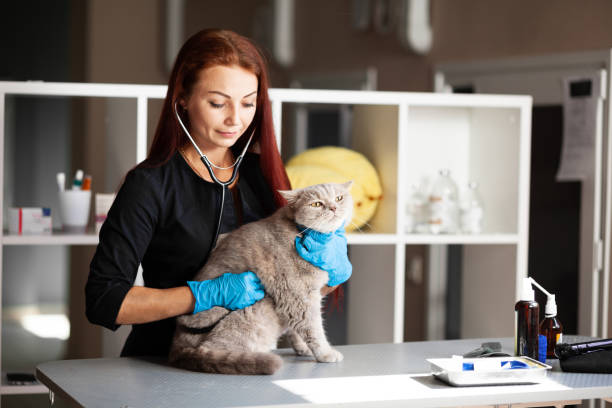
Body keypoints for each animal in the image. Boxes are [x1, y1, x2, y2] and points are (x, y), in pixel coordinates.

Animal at [169, 182, 354, 376]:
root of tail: (177, 348)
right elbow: (313, 328)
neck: (300, 234)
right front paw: (325, 353)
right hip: (252, 311)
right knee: (209, 349)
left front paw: (302, 347)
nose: (333, 207)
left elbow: (295, 329)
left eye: (339, 198)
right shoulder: (297, 296)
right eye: (317, 204)